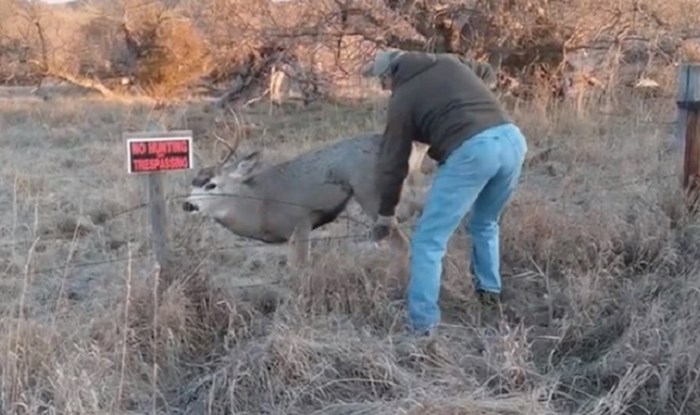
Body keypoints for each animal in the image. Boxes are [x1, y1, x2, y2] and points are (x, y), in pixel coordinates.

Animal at [183, 132, 430, 272]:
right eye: (193, 182)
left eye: (211, 184)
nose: (187, 205)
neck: (260, 205)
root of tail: (415, 147)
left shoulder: (300, 222)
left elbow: (299, 269)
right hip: (407, 189)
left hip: (373, 195)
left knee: (402, 243)